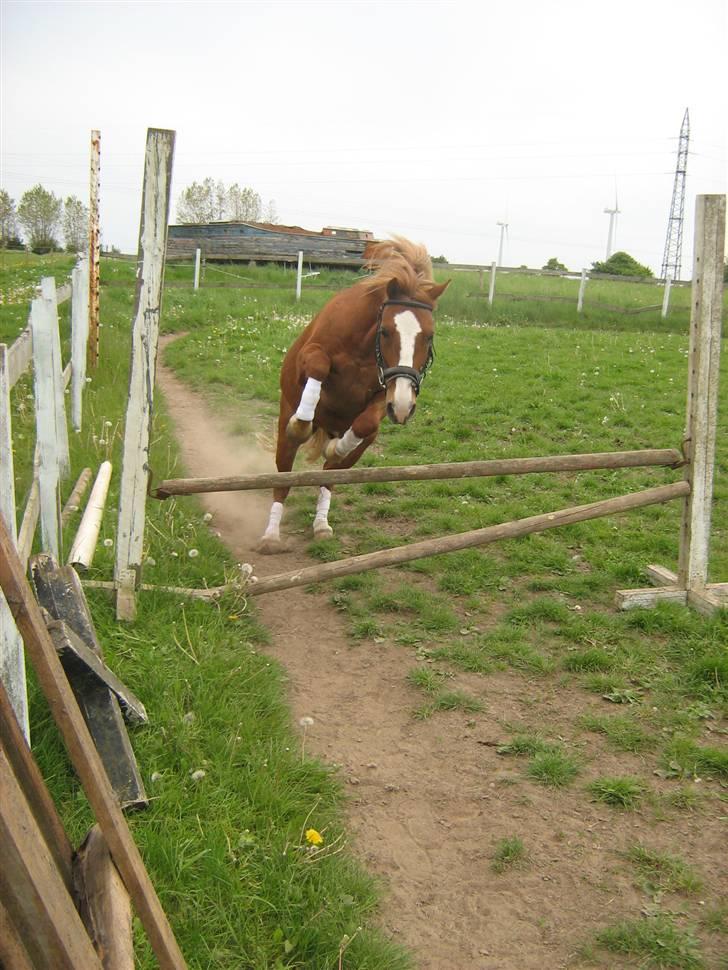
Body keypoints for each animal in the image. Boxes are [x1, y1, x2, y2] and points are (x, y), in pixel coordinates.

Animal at [258, 236, 446, 552]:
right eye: (386, 331)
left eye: (429, 336)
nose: (405, 407)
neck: (363, 347)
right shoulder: (309, 355)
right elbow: (319, 365)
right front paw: (302, 423)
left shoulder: (386, 391)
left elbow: (366, 422)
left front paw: (337, 447)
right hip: (284, 433)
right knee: (283, 478)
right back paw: (271, 534)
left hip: (360, 448)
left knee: (330, 476)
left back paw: (322, 524)